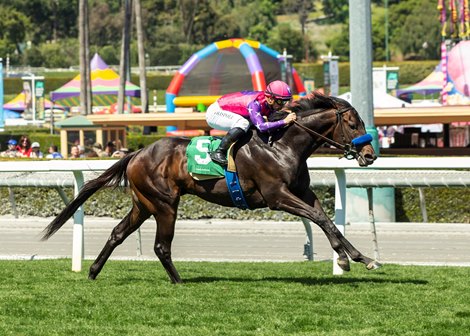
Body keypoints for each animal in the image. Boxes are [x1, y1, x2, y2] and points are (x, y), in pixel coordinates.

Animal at [42, 92, 382, 284]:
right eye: (354, 124)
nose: (370, 155)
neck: (283, 144)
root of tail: (136, 153)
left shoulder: (302, 193)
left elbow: (326, 220)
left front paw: (360, 257)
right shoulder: (277, 197)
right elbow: (321, 219)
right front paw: (347, 259)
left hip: (143, 204)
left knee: (117, 234)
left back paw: (93, 271)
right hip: (165, 204)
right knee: (161, 246)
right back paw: (179, 282)